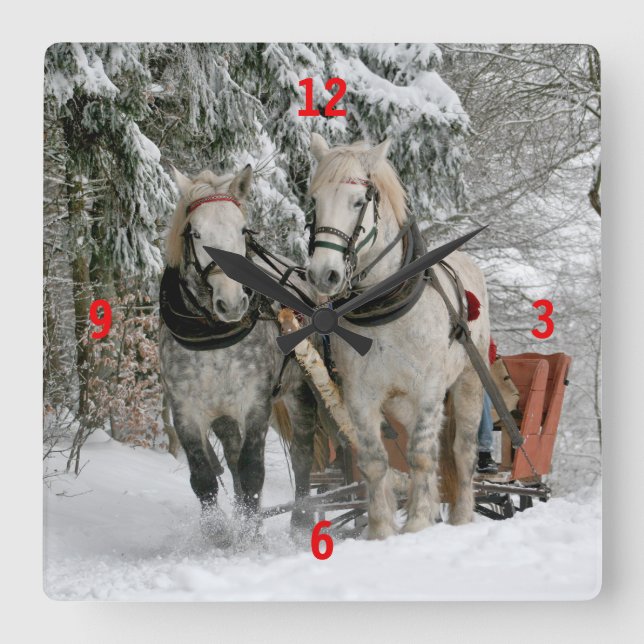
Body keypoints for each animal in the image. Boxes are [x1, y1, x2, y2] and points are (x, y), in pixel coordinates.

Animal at [159, 165, 316, 545]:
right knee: (231, 458)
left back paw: (301, 522)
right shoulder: (186, 410)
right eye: (196, 232)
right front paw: (220, 533)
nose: (232, 303)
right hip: (224, 415)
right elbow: (203, 475)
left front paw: (250, 534)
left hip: (300, 392)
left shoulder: (255, 403)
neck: (213, 335)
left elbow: (253, 470)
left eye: (242, 230)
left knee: (302, 454)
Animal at [305, 134, 490, 539]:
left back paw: (461, 516)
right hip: (401, 402)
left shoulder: (429, 388)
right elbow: (376, 460)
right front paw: (381, 530)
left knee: (461, 450)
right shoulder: (360, 394)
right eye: (315, 200)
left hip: (468, 381)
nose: (323, 275)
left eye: (358, 201)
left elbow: (420, 455)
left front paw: (418, 522)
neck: (384, 303)